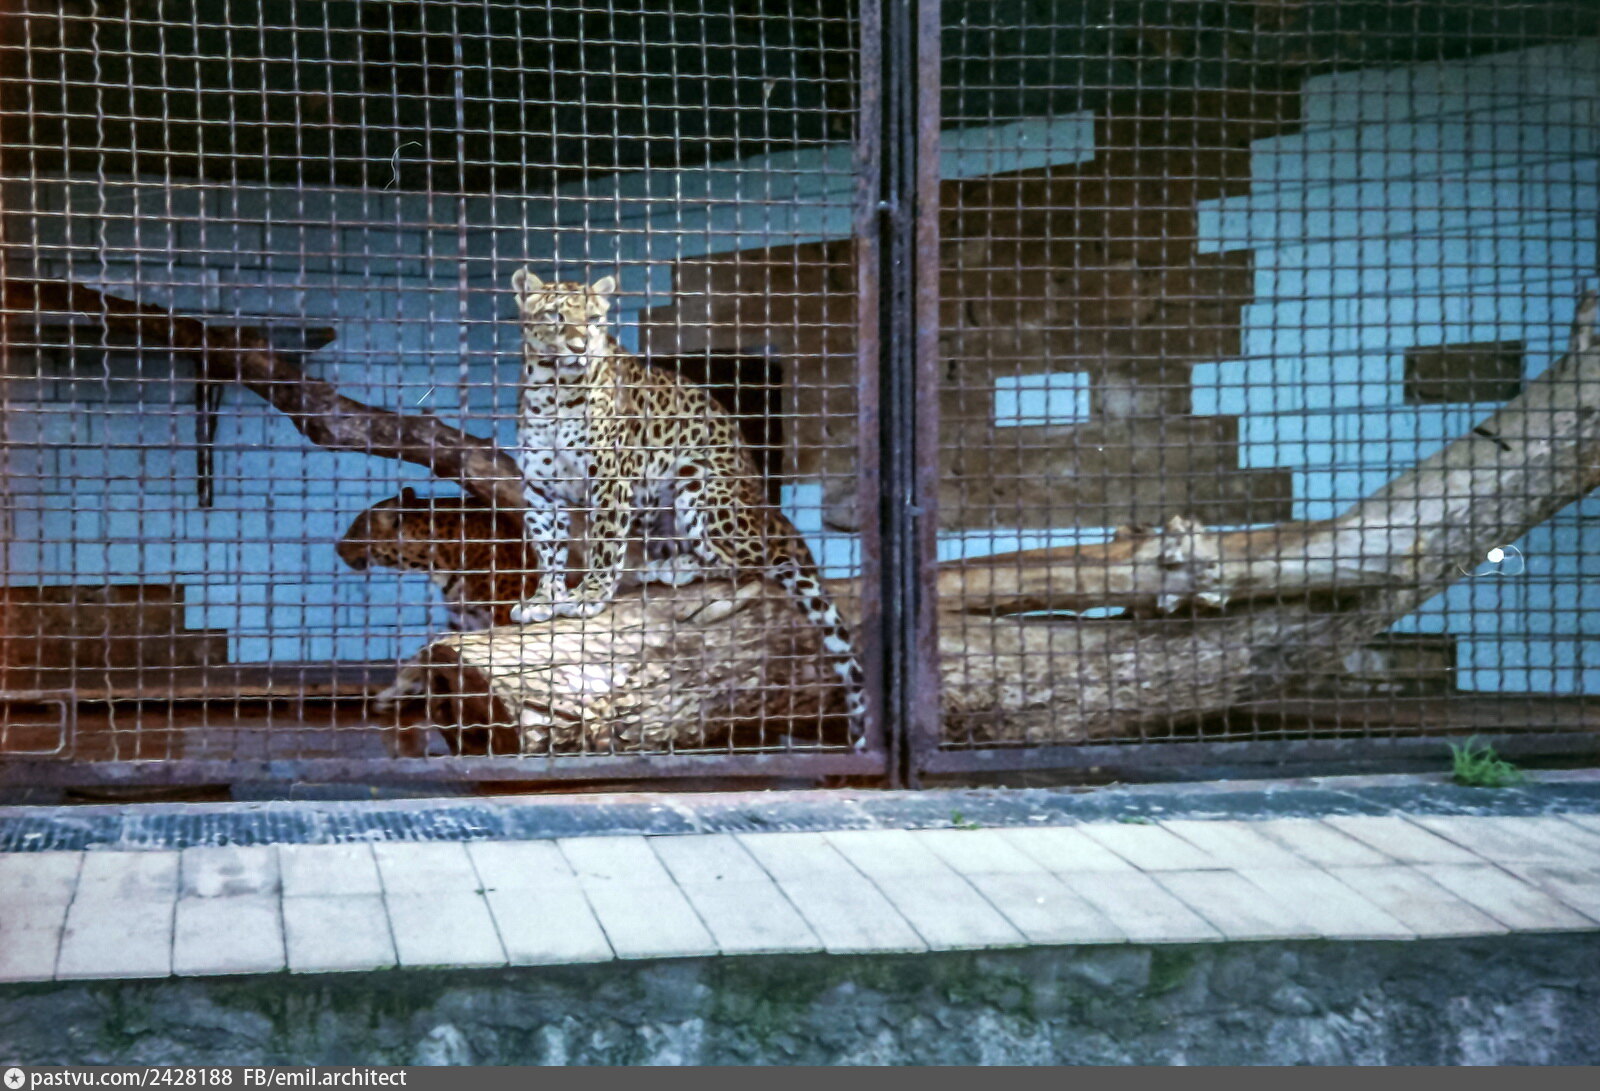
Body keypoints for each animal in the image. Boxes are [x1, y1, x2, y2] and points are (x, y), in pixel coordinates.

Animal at [508, 269, 866, 728]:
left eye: (593, 319)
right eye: (555, 316)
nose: (578, 347)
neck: (552, 390)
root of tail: (773, 514)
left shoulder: (610, 477)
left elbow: (605, 544)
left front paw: (589, 595)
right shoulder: (540, 488)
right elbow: (547, 549)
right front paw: (544, 598)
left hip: (700, 485)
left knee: (750, 564)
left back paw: (674, 568)